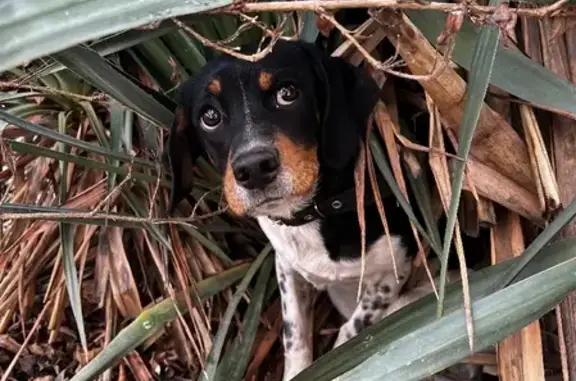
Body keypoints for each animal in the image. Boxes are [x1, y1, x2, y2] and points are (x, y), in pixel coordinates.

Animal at [164, 40, 426, 378]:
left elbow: (351, 334)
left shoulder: (391, 272)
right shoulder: (287, 265)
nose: (254, 168)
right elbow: (295, 336)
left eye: (287, 93)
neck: (311, 213)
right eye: (209, 116)